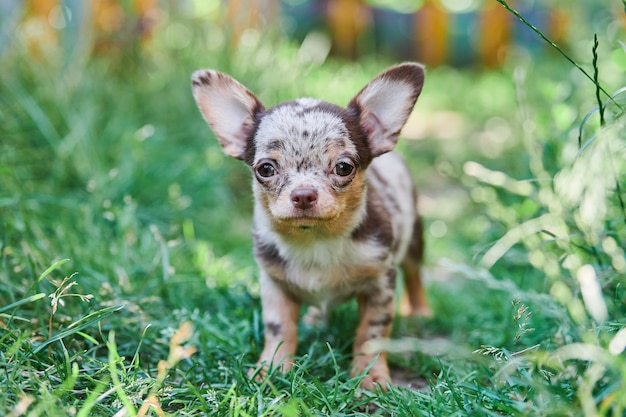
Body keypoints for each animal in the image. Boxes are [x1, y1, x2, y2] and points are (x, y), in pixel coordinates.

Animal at [190, 63, 428, 388]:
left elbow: (371, 334)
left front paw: (369, 377)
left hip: (414, 238)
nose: (303, 194)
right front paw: (271, 368)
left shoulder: (381, 284)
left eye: (343, 167)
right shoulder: (274, 285)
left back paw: (422, 313)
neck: (315, 241)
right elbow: (279, 329)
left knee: (415, 274)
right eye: (266, 169)